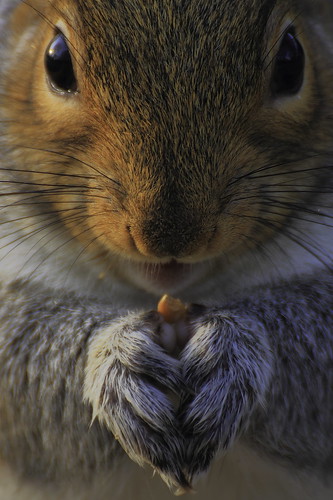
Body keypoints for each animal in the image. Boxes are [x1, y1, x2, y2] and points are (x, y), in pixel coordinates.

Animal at [0, 0, 330, 498]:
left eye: (292, 62)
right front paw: (118, 363)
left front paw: (231, 349)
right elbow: (19, 357)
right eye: (55, 61)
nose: (169, 237)